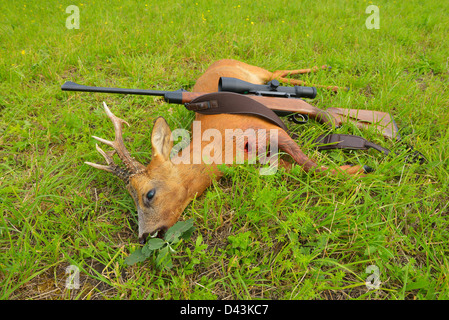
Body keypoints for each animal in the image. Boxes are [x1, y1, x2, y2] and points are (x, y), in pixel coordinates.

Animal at [87, 58, 364, 242]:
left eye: (149, 194)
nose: (144, 236)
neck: (224, 147)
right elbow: (297, 168)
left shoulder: (273, 130)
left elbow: (310, 164)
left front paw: (359, 169)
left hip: (255, 71)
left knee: (277, 73)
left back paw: (333, 82)